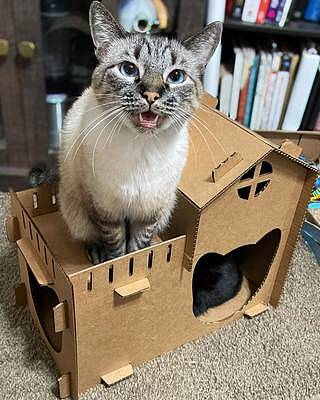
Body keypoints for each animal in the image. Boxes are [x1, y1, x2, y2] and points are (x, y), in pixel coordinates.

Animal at [58, 1, 222, 264]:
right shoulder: (106, 211)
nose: (151, 95)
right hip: (75, 208)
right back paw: (96, 253)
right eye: (128, 69)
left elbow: (138, 250)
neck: (141, 148)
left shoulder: (148, 215)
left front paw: (142, 262)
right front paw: (114, 264)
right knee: (87, 233)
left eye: (176, 76)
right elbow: (117, 250)